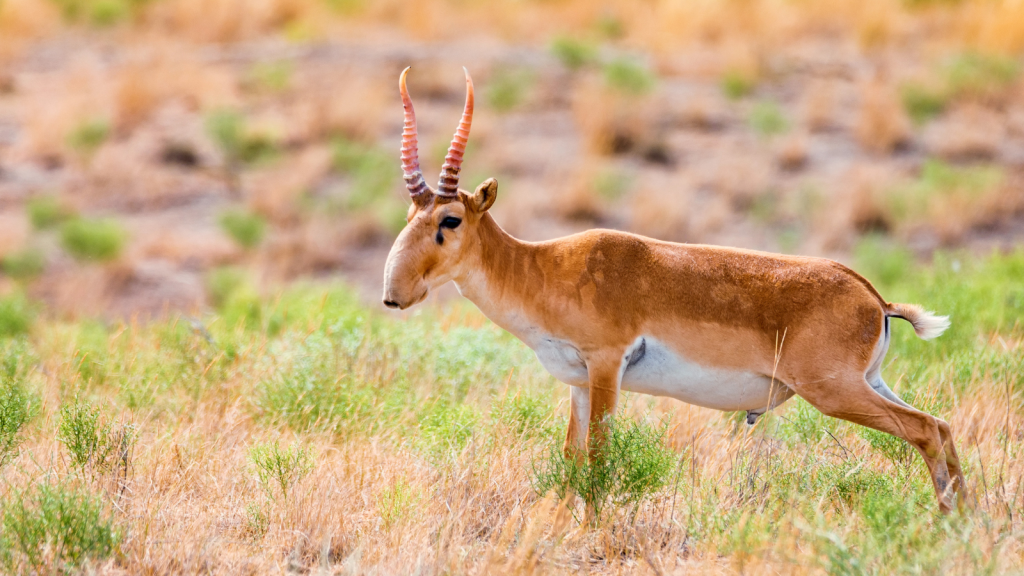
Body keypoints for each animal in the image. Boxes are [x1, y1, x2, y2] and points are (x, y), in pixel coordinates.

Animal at [382, 67, 966, 510]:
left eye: (451, 219)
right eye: (412, 214)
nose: (394, 295)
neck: (546, 266)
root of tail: (872, 297)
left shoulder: (606, 367)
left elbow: (599, 456)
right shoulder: (577, 382)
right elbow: (571, 457)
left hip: (836, 391)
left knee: (924, 430)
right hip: (870, 383)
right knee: (940, 427)